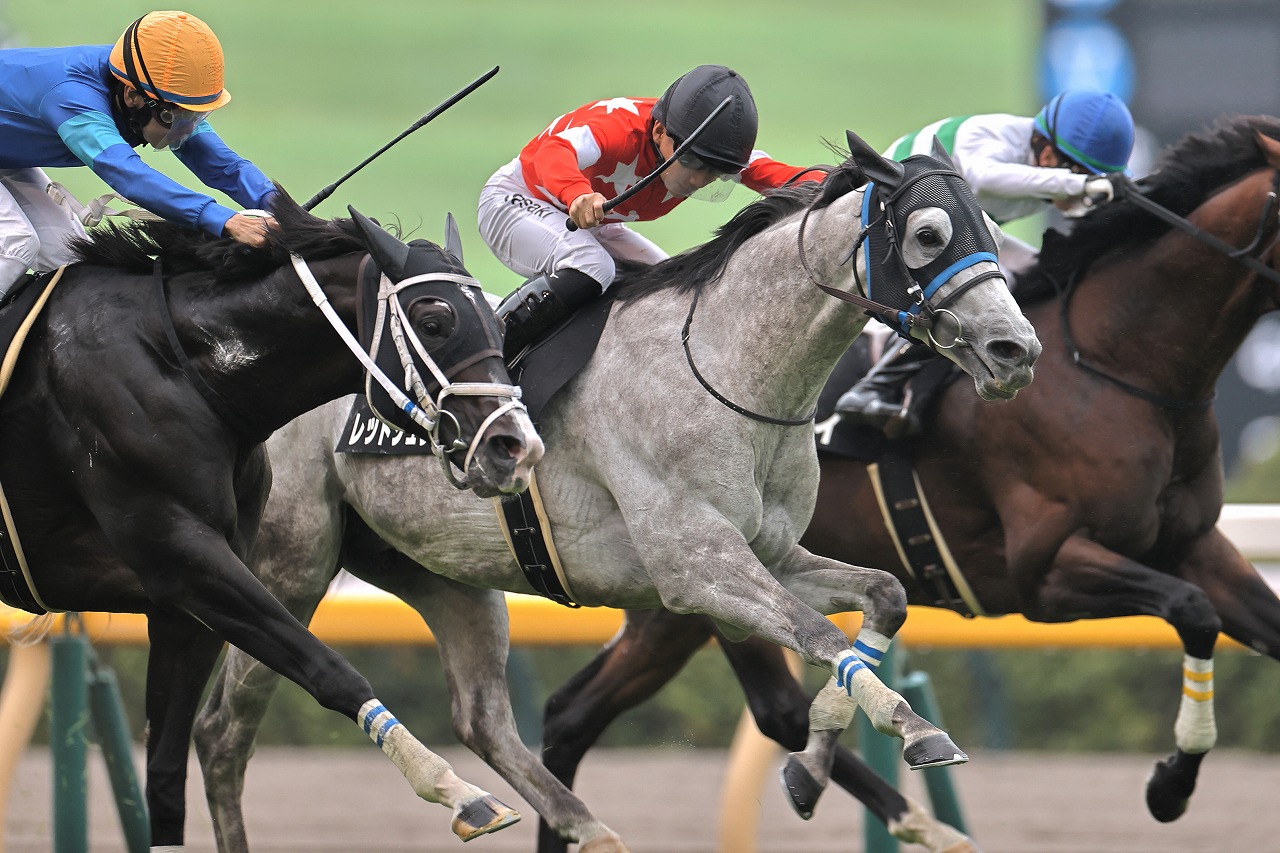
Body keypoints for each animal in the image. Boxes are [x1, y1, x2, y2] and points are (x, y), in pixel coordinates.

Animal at [0, 190, 543, 849]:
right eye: (434, 320)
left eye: (498, 321)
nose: (516, 447)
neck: (181, 370)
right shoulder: (185, 558)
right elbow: (329, 669)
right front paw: (461, 792)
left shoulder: (186, 602)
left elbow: (165, 772)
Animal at [192, 131, 1041, 852]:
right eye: (929, 234)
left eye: (989, 229)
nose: (1016, 349)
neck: (728, 368)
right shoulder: (696, 567)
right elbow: (819, 634)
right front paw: (911, 729)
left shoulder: (770, 552)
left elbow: (883, 598)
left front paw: (812, 766)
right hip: (293, 562)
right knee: (224, 728)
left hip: (442, 572)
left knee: (483, 719)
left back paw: (572, 823)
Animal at [524, 113, 1280, 845]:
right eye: (927, 235)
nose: (1014, 354)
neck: (1115, 363)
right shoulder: (1044, 571)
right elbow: (1191, 608)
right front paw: (1170, 785)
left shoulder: (1192, 542)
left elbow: (1247, 621)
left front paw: (1175, 781)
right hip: (684, 581)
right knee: (755, 709)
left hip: (668, 593)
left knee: (579, 714)